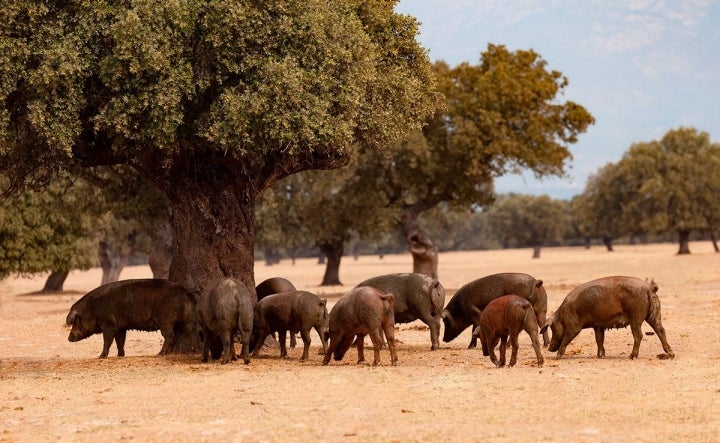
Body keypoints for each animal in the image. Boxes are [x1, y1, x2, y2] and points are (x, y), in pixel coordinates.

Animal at [65, 280, 198, 360]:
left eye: (75, 321)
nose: (69, 338)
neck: (93, 308)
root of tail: (184, 291)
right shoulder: (120, 328)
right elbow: (120, 341)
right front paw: (120, 356)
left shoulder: (109, 324)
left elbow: (107, 340)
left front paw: (101, 356)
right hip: (187, 318)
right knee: (192, 332)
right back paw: (194, 350)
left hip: (165, 319)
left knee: (170, 335)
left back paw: (159, 354)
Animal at [540, 278, 676, 360]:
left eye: (552, 328)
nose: (550, 349)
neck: (563, 313)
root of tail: (649, 288)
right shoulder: (598, 325)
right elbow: (599, 340)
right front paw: (600, 356)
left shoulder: (574, 325)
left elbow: (567, 338)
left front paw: (558, 357)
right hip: (654, 315)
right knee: (661, 330)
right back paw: (671, 354)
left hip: (636, 316)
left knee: (639, 335)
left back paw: (631, 356)